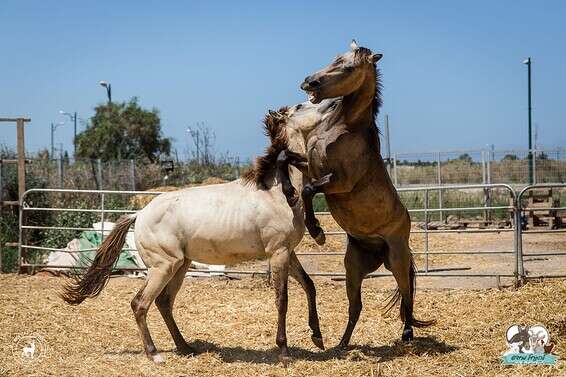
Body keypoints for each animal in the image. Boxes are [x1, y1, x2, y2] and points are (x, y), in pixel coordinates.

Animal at [61, 109, 328, 364]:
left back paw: (185, 347)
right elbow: (282, 300)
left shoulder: (288, 252)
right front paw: (284, 353)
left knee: (164, 303)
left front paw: (317, 337)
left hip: (180, 265)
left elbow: (309, 285)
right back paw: (154, 354)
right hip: (163, 267)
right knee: (140, 303)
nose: (332, 105)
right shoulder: (278, 253)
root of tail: (139, 214)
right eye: (302, 106)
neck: (275, 192)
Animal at [288, 41, 434, 346]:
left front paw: (317, 232)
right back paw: (341, 344)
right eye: (334, 58)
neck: (342, 128)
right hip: (352, 268)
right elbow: (294, 168)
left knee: (407, 296)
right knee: (356, 306)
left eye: (348, 67)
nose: (309, 81)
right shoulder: (311, 165)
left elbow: (309, 189)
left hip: (398, 261)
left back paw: (407, 334)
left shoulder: (339, 182)